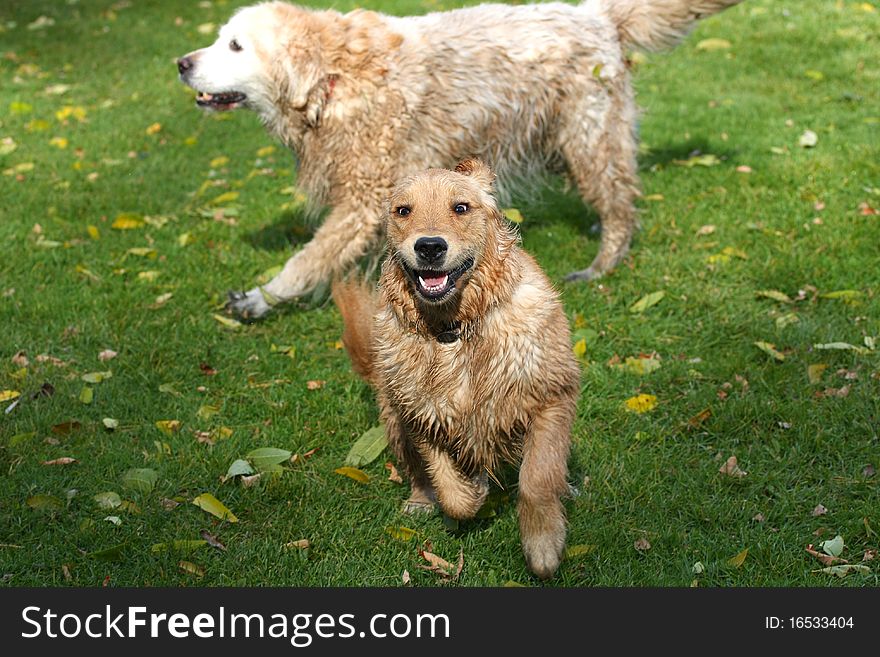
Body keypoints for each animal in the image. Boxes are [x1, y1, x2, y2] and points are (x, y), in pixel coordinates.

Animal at [177, 0, 744, 318]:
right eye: (219, 40)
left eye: (235, 45)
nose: (181, 63)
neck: (334, 79)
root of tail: (596, 14)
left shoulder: (362, 203)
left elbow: (306, 260)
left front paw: (263, 298)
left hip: (588, 139)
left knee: (621, 204)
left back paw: (603, 262)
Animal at [334, 160, 580, 580]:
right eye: (403, 210)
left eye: (460, 207)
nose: (430, 246)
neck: (453, 329)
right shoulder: (420, 414)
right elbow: (450, 490)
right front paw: (473, 489)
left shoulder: (551, 396)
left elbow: (537, 478)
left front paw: (543, 545)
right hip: (392, 416)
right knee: (418, 473)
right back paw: (421, 500)